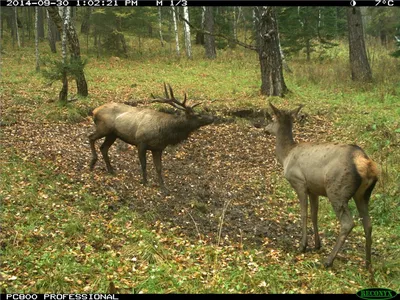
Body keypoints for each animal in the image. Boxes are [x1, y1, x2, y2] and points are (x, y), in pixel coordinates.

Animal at [264, 103, 380, 270]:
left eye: (272, 119)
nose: (265, 129)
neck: (286, 156)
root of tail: (367, 164)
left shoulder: (299, 182)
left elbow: (303, 213)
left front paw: (303, 246)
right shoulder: (314, 189)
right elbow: (314, 214)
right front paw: (317, 245)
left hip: (337, 189)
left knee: (348, 223)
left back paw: (328, 260)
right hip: (363, 194)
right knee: (368, 223)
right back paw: (367, 263)